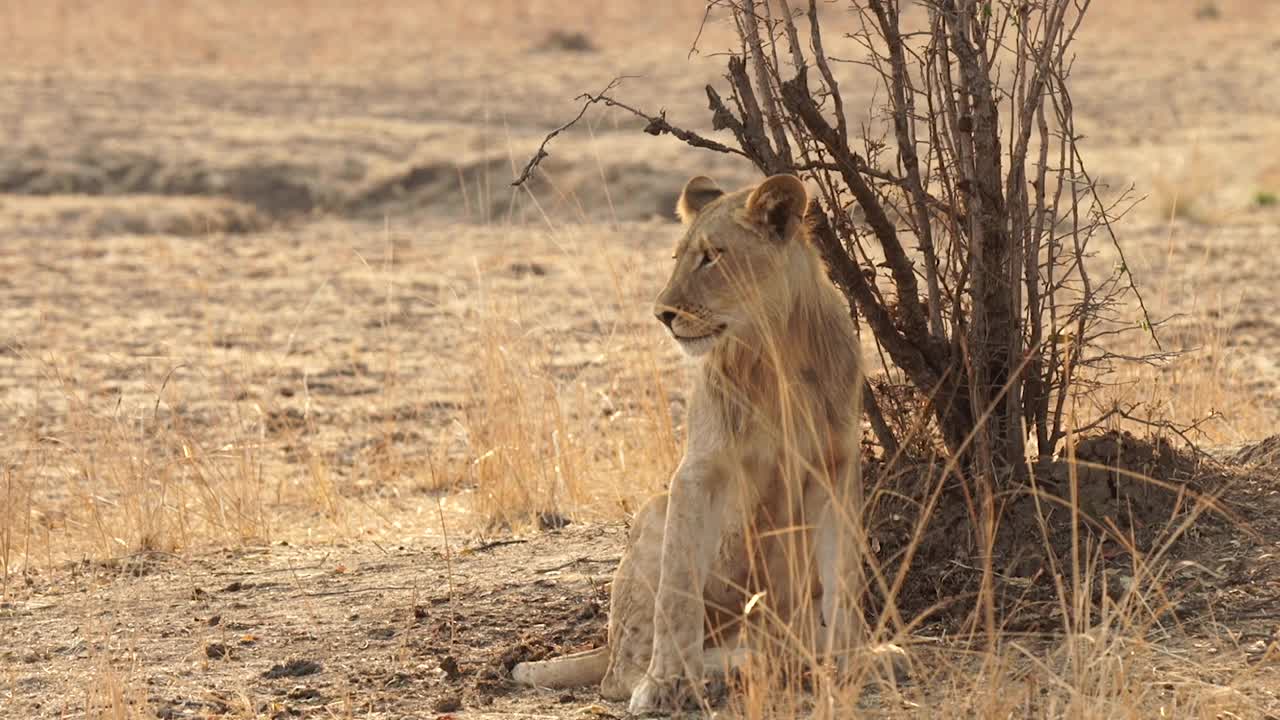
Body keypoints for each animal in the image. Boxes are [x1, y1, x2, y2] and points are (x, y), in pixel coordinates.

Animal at [509, 175, 880, 712]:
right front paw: (665, 684)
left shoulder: (835, 465)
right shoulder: (698, 470)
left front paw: (854, 662)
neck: (776, 348)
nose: (662, 314)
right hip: (654, 514)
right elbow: (677, 590)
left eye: (711, 257)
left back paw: (792, 657)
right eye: (678, 256)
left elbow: (844, 575)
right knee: (620, 672)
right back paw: (736, 665)